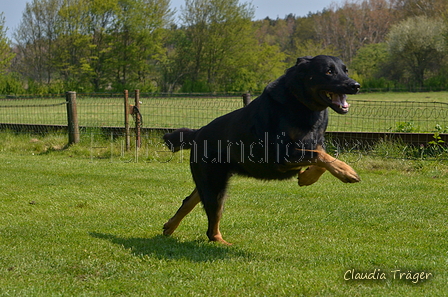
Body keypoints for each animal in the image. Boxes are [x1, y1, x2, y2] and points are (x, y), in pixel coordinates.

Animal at [163, 55, 362, 243]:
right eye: (329, 71)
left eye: (345, 70)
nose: (356, 85)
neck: (301, 104)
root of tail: (198, 132)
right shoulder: (283, 156)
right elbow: (321, 156)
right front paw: (346, 171)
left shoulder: (312, 146)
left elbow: (322, 158)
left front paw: (307, 177)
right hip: (214, 186)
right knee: (211, 228)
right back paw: (221, 242)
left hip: (212, 181)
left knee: (189, 200)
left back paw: (169, 226)